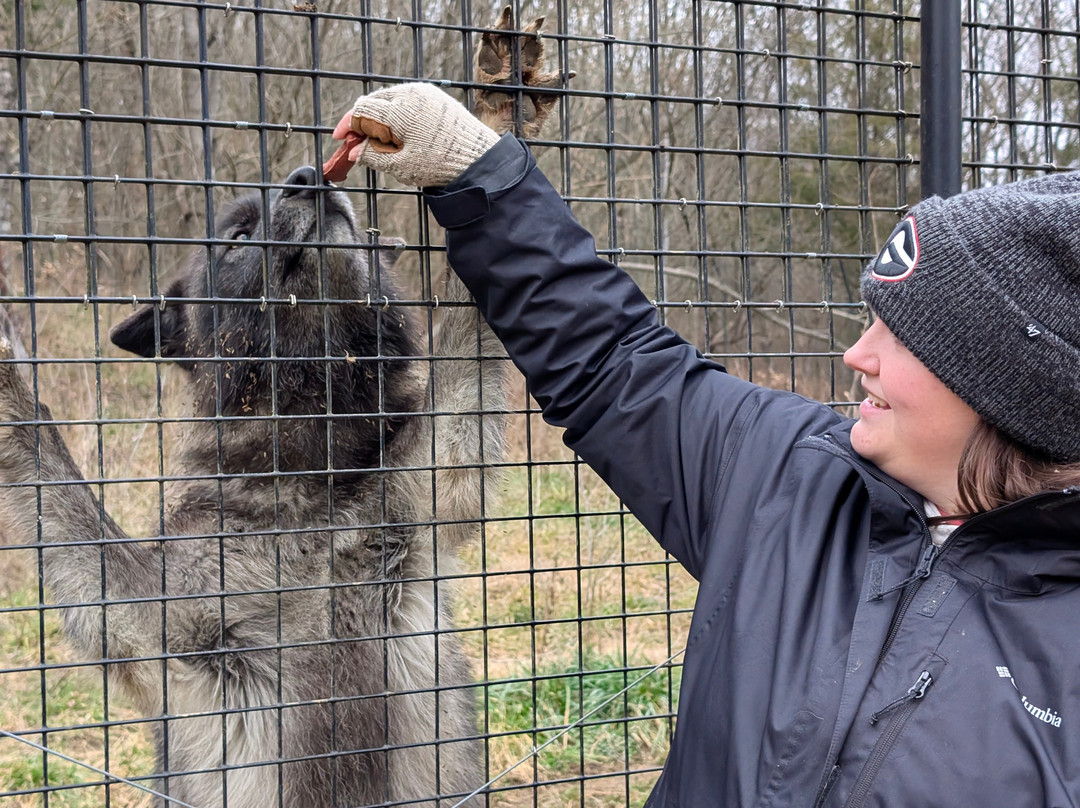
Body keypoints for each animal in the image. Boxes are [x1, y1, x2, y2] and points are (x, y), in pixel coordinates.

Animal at [0, 8, 566, 808]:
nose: (306, 179)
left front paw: (490, 113)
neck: (302, 483)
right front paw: (10, 371)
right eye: (238, 235)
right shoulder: (147, 621)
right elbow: (53, 475)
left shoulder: (440, 467)